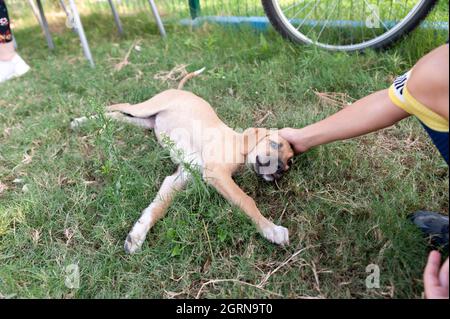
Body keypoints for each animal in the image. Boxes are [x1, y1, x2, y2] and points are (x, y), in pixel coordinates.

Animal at [71, 70, 296, 255]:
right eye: (275, 144)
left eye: (289, 163)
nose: (279, 170)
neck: (238, 145)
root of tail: (181, 90)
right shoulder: (216, 173)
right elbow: (247, 201)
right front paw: (272, 230)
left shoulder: (180, 177)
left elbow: (158, 208)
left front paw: (137, 235)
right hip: (145, 109)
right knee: (122, 106)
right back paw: (83, 116)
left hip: (145, 121)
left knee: (118, 115)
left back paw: (87, 120)